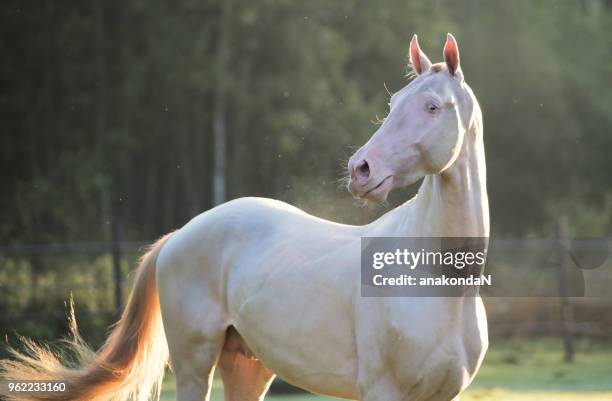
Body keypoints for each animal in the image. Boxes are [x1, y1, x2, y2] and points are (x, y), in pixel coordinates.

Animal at [0, 33, 488, 400]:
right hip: (195, 365)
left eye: (431, 106)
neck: (435, 279)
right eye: (392, 105)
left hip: (247, 366)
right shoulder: (381, 391)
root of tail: (180, 236)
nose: (361, 170)